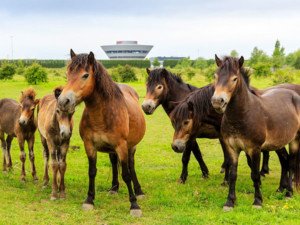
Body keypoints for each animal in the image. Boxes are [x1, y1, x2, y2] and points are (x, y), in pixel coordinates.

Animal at [57, 49, 146, 216]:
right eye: (67, 74)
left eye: (85, 75)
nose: (63, 101)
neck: (102, 115)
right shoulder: (89, 146)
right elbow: (92, 171)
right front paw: (89, 200)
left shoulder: (122, 146)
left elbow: (126, 174)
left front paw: (134, 205)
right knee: (114, 162)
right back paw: (114, 188)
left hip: (131, 146)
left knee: (131, 165)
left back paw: (139, 191)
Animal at [211, 55, 300, 210]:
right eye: (216, 76)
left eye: (234, 79)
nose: (217, 101)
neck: (243, 115)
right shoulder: (233, 149)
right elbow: (233, 175)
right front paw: (230, 202)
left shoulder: (255, 149)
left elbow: (255, 175)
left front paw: (257, 201)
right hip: (279, 142)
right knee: (285, 161)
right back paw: (281, 189)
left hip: (295, 140)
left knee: (292, 163)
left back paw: (289, 193)